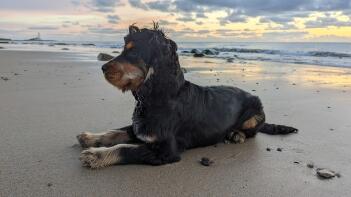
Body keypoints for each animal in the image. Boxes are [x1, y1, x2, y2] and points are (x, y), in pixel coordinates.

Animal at [76, 23, 296, 168]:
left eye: (133, 52)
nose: (102, 68)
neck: (161, 95)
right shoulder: (141, 128)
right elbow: (116, 132)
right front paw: (90, 138)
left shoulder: (166, 150)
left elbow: (126, 148)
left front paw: (95, 156)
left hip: (256, 113)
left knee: (253, 132)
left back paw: (236, 134)